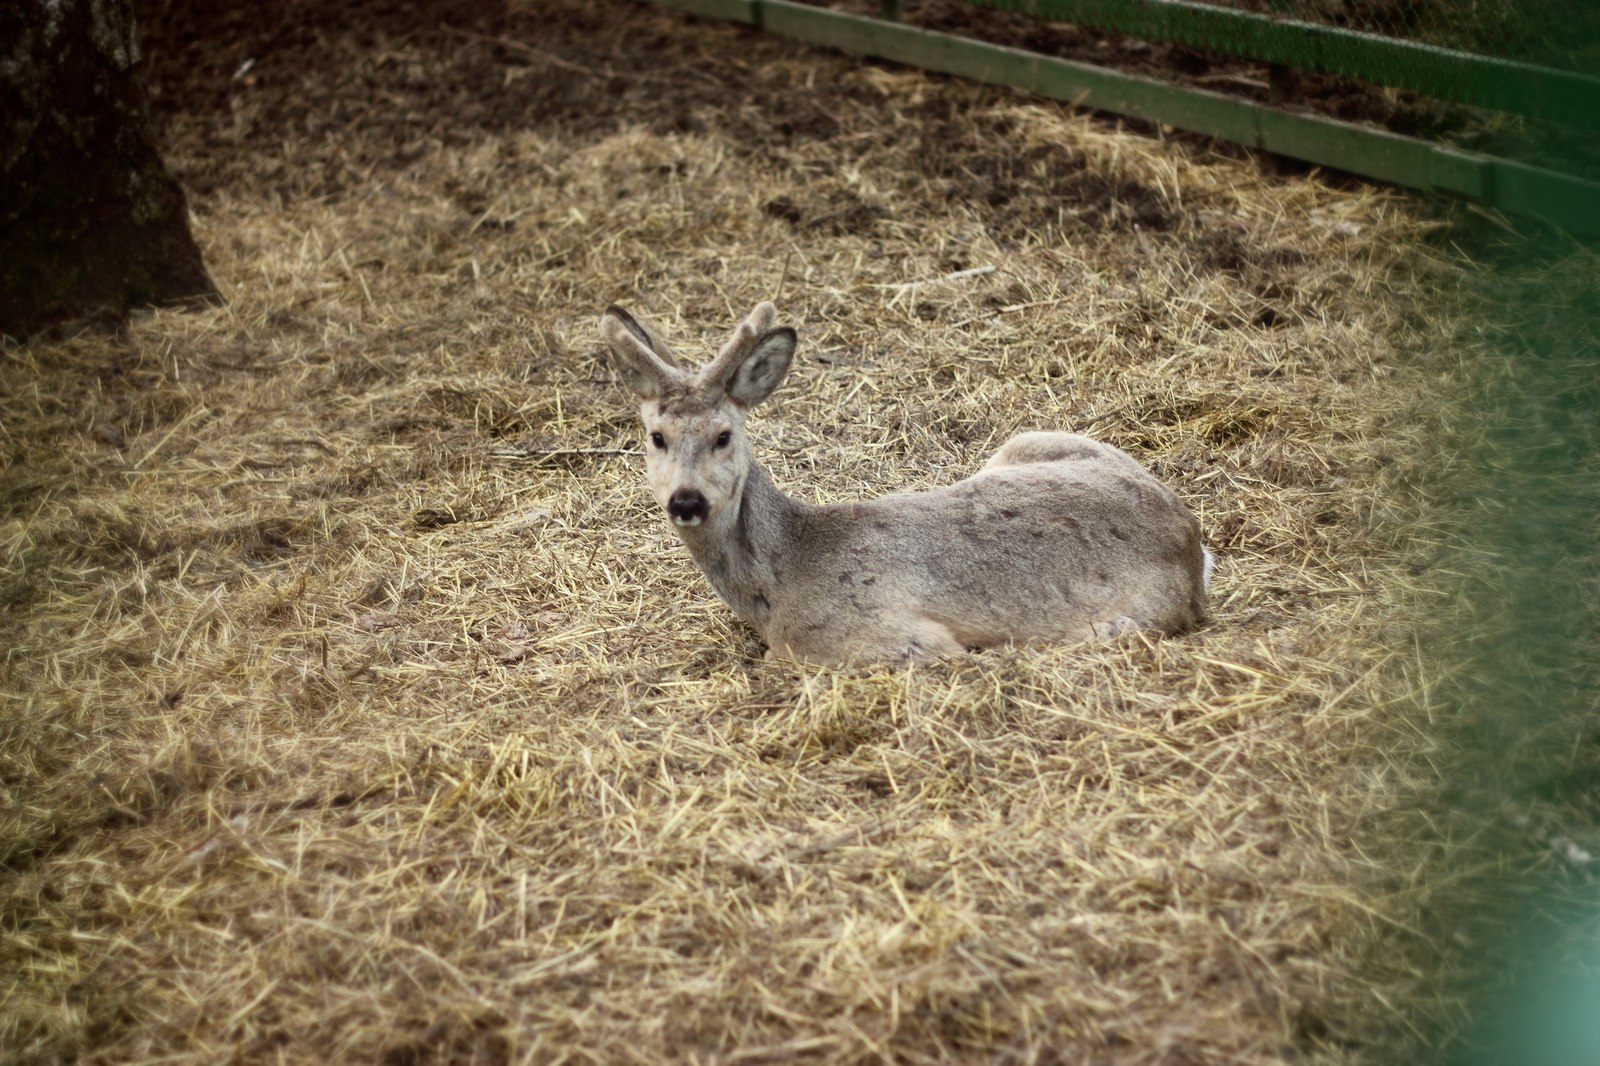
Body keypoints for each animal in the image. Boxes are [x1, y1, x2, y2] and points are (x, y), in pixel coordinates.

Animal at [601, 300, 1209, 665]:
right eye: (656, 436)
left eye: (723, 435)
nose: (686, 500)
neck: (780, 580)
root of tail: (1190, 538)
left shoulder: (894, 639)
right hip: (1025, 443)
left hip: (1118, 624)